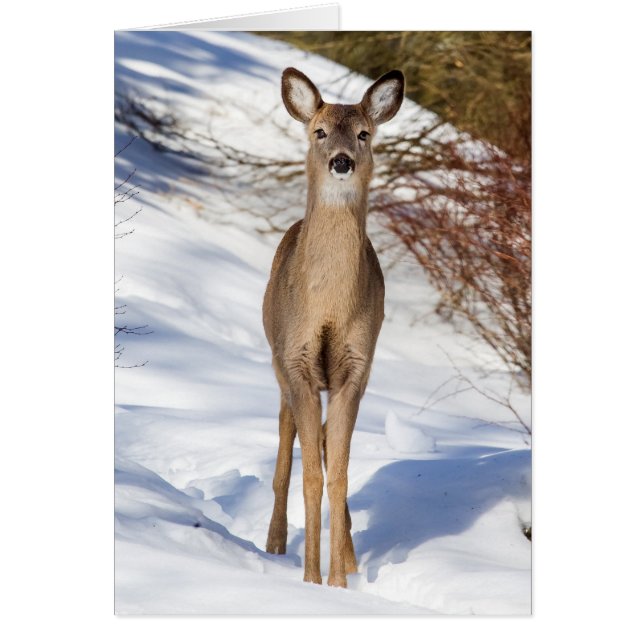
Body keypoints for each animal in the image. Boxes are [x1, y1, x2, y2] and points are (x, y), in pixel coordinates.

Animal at [262, 67, 405, 588]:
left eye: (364, 133)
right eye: (320, 131)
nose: (341, 161)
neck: (328, 307)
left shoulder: (355, 368)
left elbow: (339, 472)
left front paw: (340, 581)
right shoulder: (298, 361)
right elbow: (309, 476)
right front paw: (311, 580)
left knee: (324, 442)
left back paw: (348, 558)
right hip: (278, 362)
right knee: (287, 446)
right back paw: (275, 543)